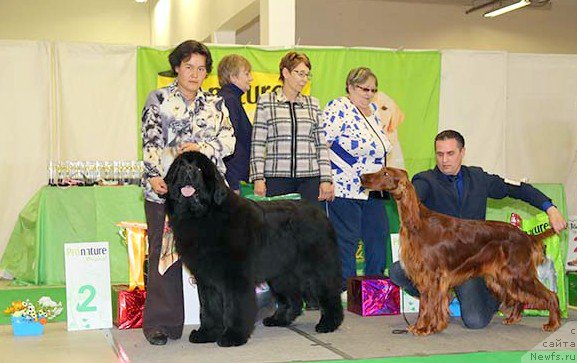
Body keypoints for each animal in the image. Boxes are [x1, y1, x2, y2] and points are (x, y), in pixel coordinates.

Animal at [162, 151, 342, 346]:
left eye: (200, 169)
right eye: (180, 166)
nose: (188, 169)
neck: (204, 215)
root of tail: (320, 213)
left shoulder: (235, 276)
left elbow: (235, 307)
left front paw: (233, 336)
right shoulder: (206, 278)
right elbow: (208, 307)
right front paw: (207, 334)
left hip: (317, 268)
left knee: (329, 295)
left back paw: (328, 324)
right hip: (281, 273)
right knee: (292, 298)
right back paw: (279, 319)